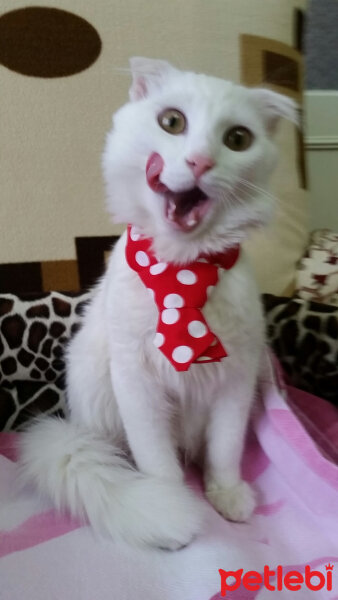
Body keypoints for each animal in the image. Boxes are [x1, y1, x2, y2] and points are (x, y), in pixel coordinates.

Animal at [19, 58, 298, 552]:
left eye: (238, 139)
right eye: (172, 122)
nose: (200, 161)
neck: (183, 276)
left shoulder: (237, 381)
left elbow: (224, 450)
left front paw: (226, 494)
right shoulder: (136, 381)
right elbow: (158, 462)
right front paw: (173, 504)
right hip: (95, 387)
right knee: (118, 453)